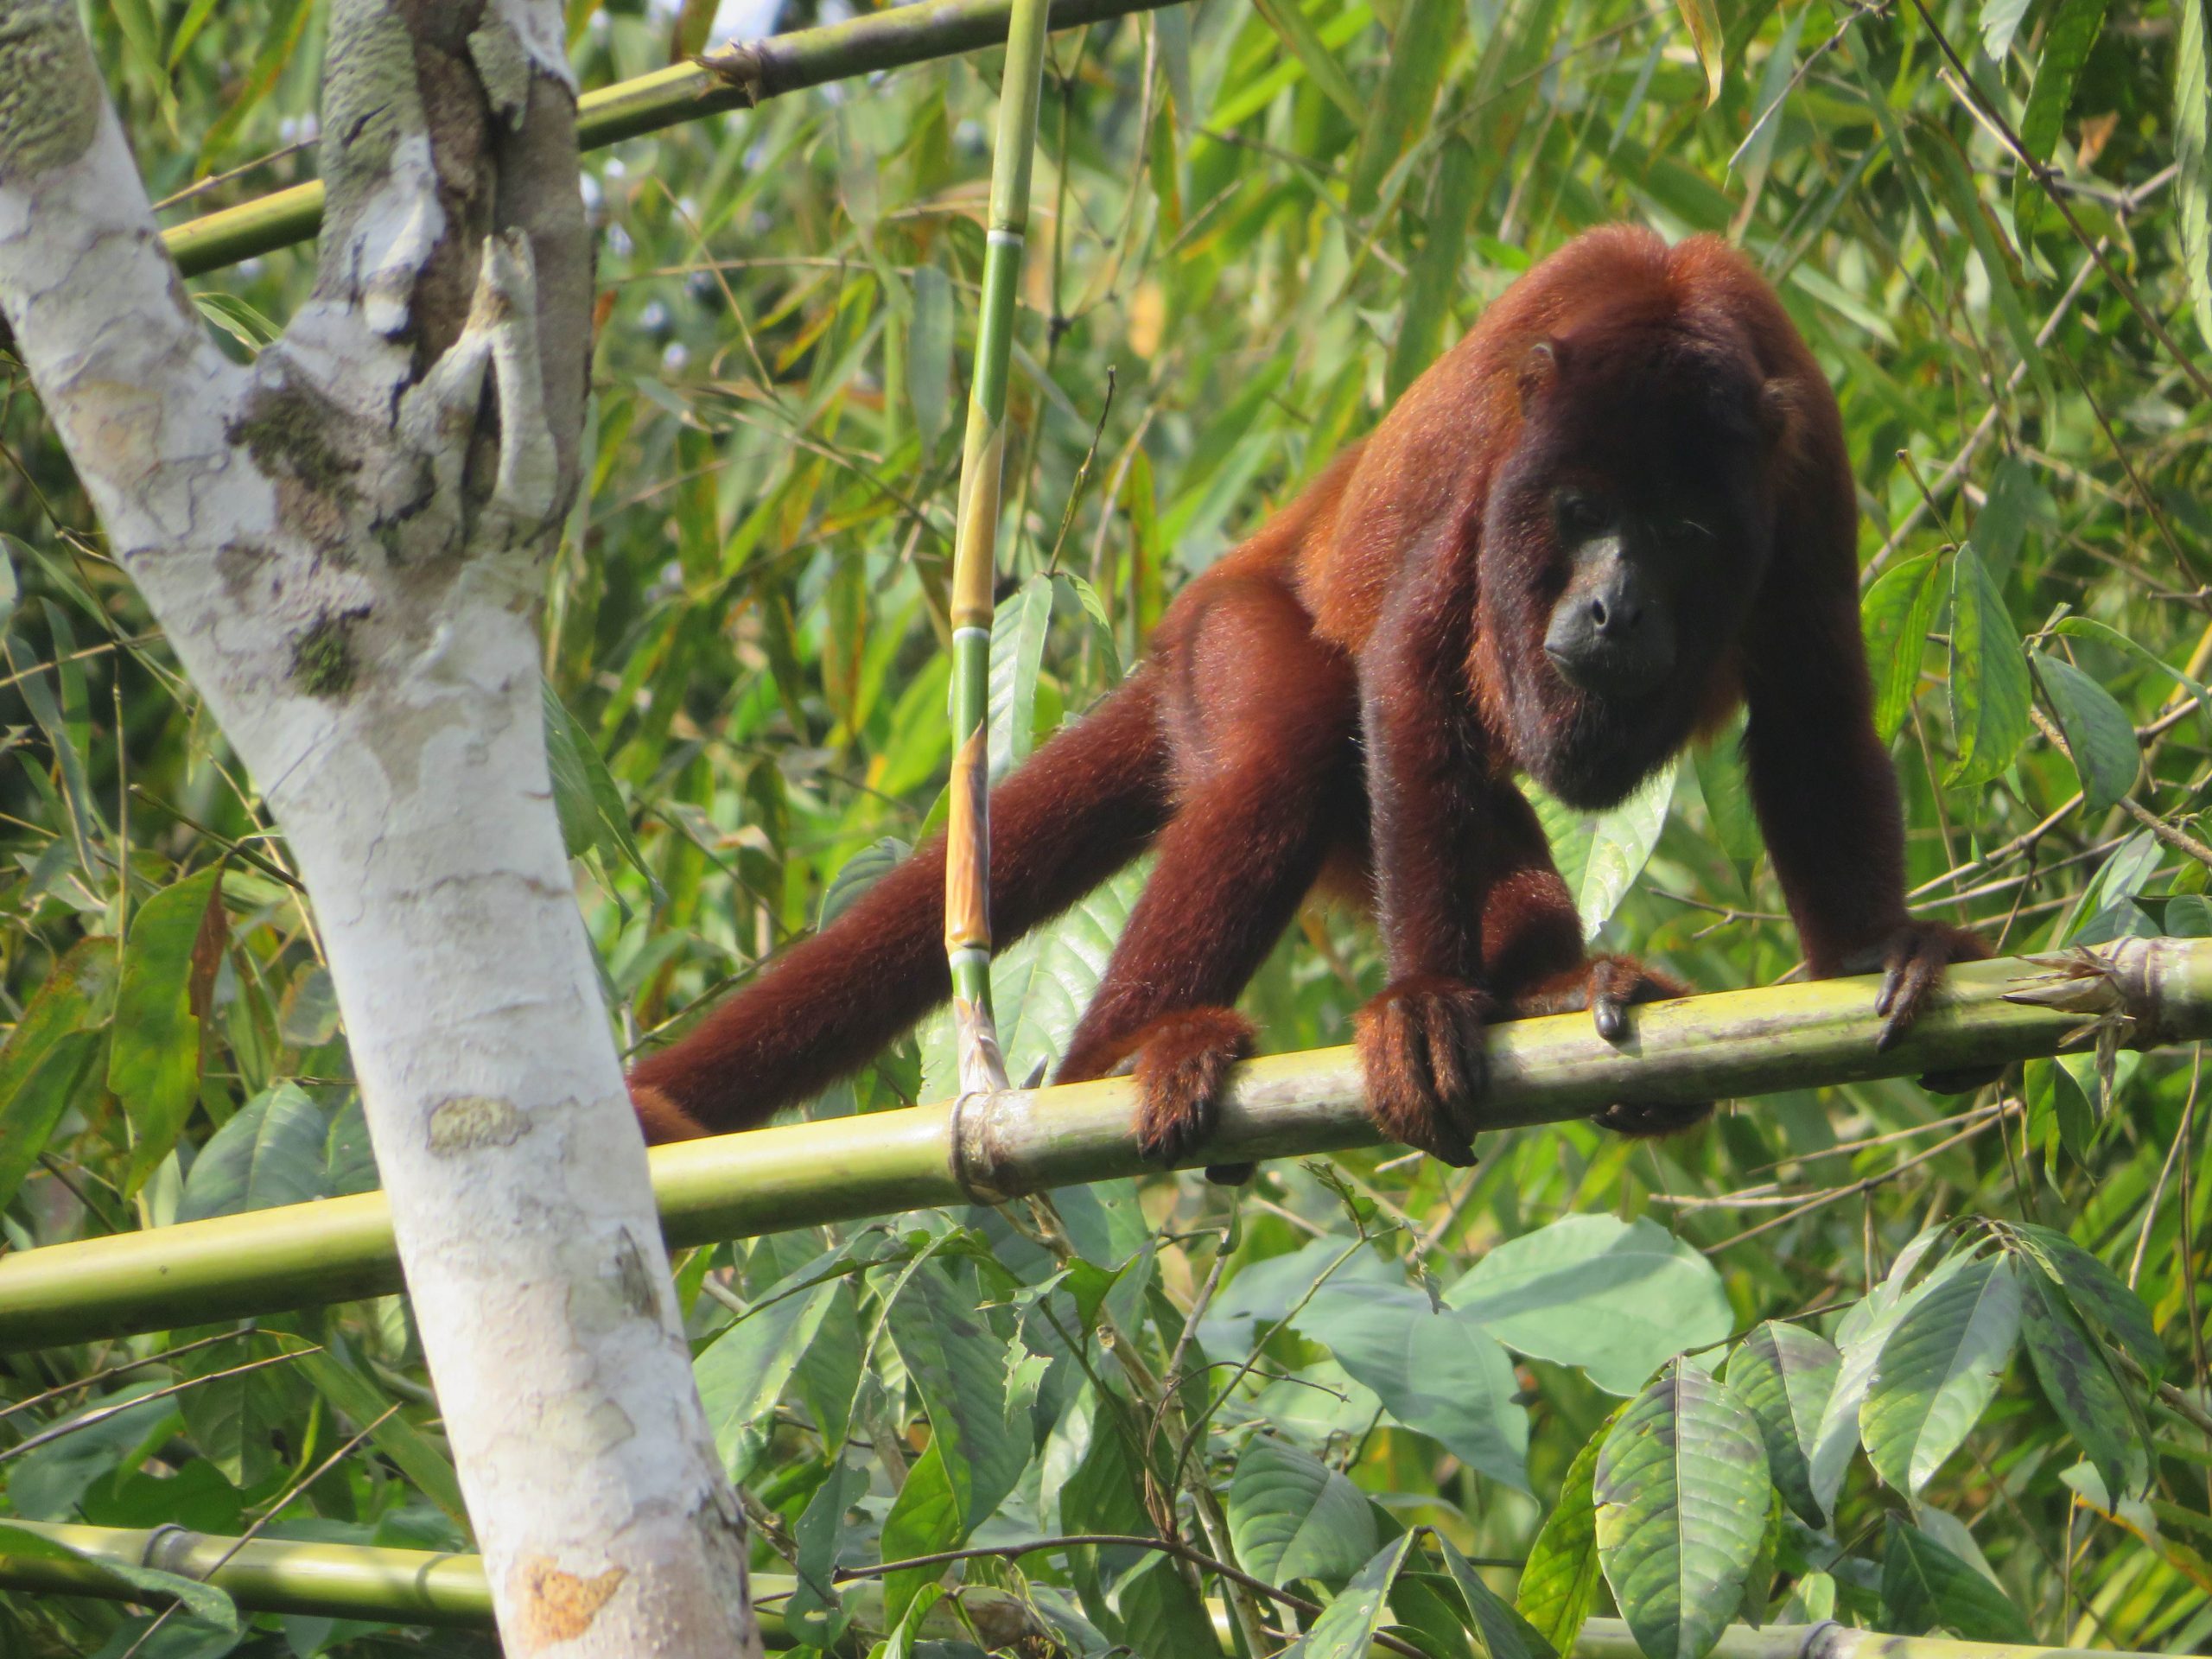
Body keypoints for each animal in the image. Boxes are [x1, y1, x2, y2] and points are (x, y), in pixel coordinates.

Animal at [626, 225, 1988, 1168]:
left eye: (1686, 534)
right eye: (1579, 513)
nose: (1613, 607)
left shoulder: (1806, 460)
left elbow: (1812, 705)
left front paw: (1871, 948)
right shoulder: (1498, 450)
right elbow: (1409, 663)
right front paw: (1426, 1006)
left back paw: (1554, 989)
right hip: (1227, 644)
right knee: (1285, 748)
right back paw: (1121, 1058)